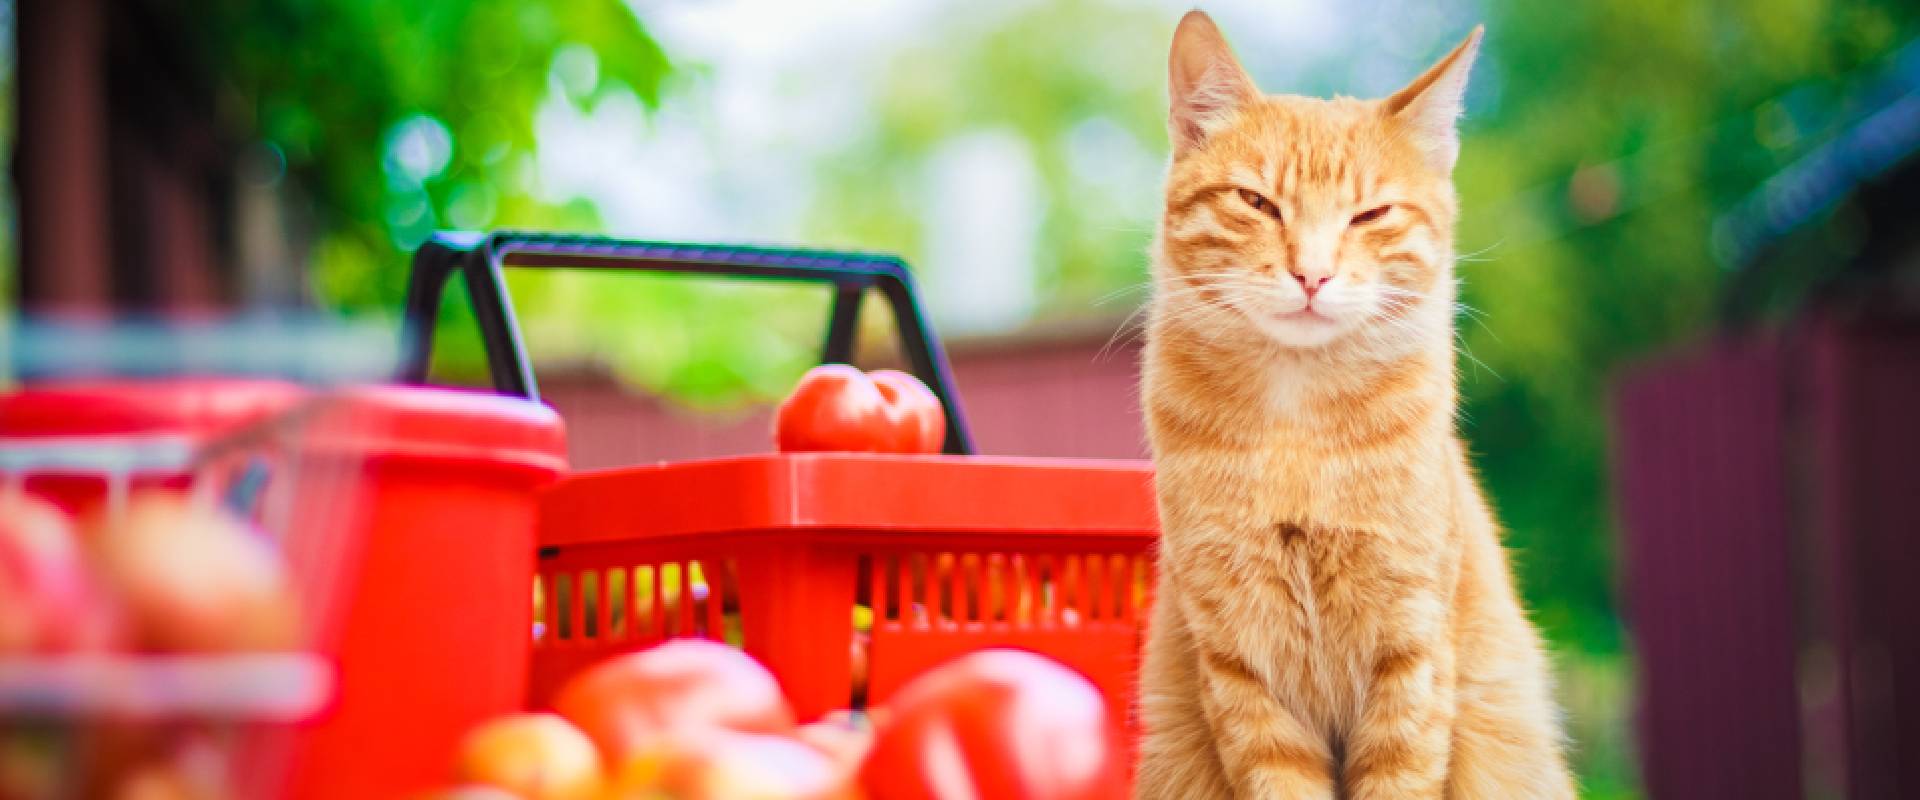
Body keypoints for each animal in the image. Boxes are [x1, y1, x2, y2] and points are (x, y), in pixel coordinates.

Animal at [1136, 12, 1574, 798]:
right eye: (1256, 203)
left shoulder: (1412, 652)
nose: (1312, 274)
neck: (1296, 430)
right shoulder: (1242, 668)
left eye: (1369, 215)